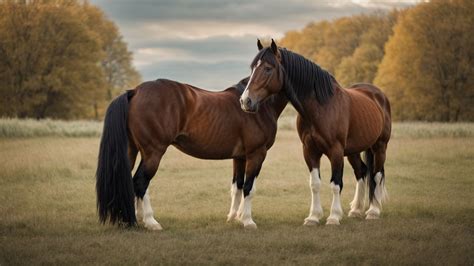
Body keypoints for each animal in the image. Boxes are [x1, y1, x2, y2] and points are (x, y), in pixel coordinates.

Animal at [95, 76, 288, 229]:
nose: (247, 102)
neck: (262, 106)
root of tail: (134, 91)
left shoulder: (240, 157)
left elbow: (238, 186)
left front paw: (235, 217)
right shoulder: (257, 154)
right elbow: (249, 187)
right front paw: (247, 221)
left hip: (133, 150)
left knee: (130, 181)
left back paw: (133, 218)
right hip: (153, 153)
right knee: (141, 182)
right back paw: (150, 222)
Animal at [239, 40, 390, 225]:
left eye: (268, 68)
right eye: (252, 68)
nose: (245, 101)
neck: (320, 107)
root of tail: (378, 94)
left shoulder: (335, 150)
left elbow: (336, 183)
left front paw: (333, 217)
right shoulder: (310, 150)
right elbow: (315, 184)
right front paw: (313, 217)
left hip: (380, 146)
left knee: (377, 175)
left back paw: (373, 211)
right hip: (353, 150)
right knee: (362, 171)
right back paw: (355, 210)